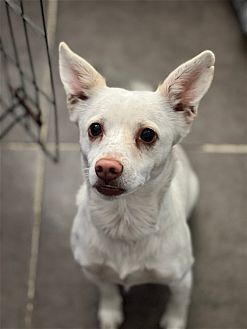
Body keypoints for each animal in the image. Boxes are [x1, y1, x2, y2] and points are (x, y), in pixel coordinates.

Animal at [58, 41, 214, 328]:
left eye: (147, 135)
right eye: (94, 129)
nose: (107, 167)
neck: (124, 222)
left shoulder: (182, 280)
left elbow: (178, 304)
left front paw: (174, 322)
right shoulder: (94, 271)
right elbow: (108, 290)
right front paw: (110, 312)